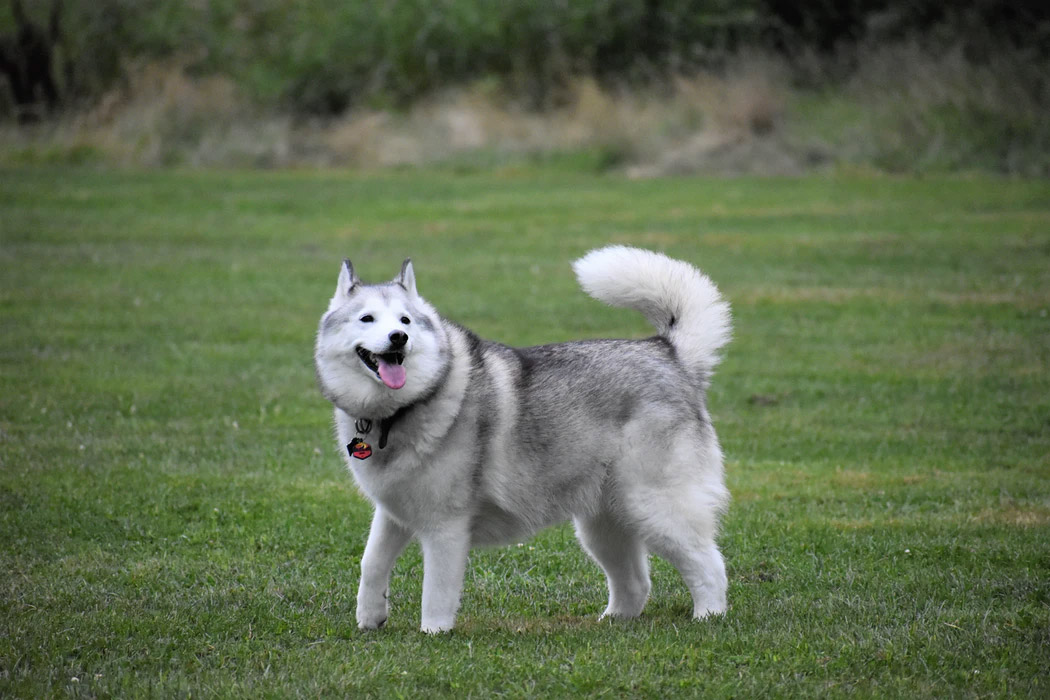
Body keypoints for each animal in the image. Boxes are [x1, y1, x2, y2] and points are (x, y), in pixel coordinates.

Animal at [312, 247, 730, 633]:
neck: (396, 415)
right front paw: (369, 619)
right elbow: (371, 564)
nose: (398, 338)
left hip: (655, 507)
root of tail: (669, 352)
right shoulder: (393, 512)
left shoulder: (446, 527)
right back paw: (612, 621)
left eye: (405, 320)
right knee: (637, 582)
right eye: (367, 318)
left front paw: (434, 634)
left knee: (709, 563)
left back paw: (709, 615)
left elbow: (436, 591)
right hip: (603, 524)